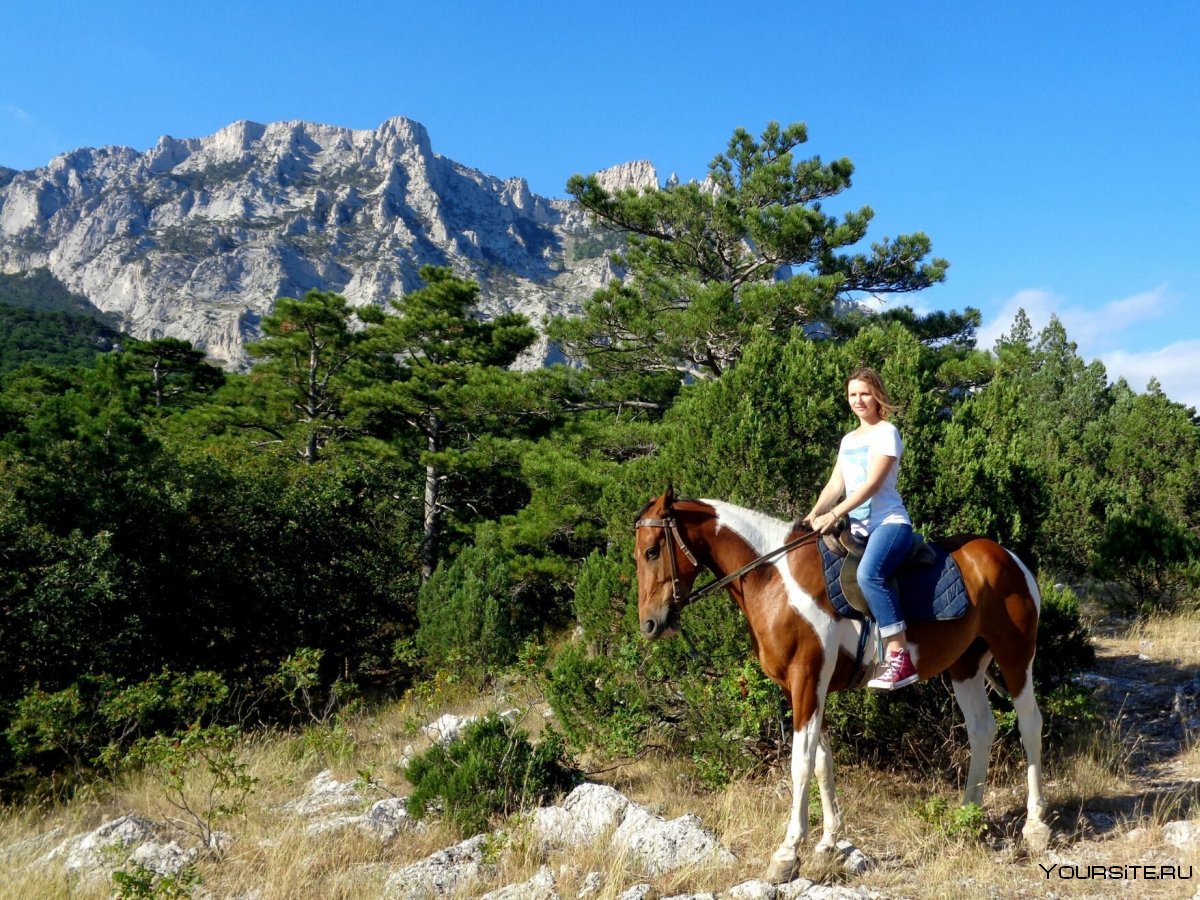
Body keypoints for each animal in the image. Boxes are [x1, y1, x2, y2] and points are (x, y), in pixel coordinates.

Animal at [633, 489, 1046, 883]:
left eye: (652, 550)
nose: (650, 624)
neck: (774, 579)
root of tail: (1009, 558)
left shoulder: (806, 679)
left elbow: (800, 764)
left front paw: (788, 854)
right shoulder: (807, 689)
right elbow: (822, 764)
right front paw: (831, 843)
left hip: (1015, 654)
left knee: (1029, 725)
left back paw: (1036, 826)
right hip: (965, 667)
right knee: (981, 729)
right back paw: (967, 817)